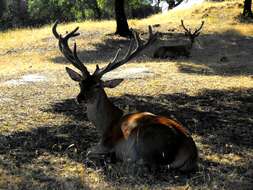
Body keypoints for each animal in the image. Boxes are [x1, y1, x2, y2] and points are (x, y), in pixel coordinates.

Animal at [51, 21, 198, 172]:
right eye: (81, 83)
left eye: (97, 85)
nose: (80, 98)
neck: (106, 126)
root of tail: (190, 153)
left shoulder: (106, 143)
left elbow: (88, 151)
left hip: (147, 142)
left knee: (149, 165)